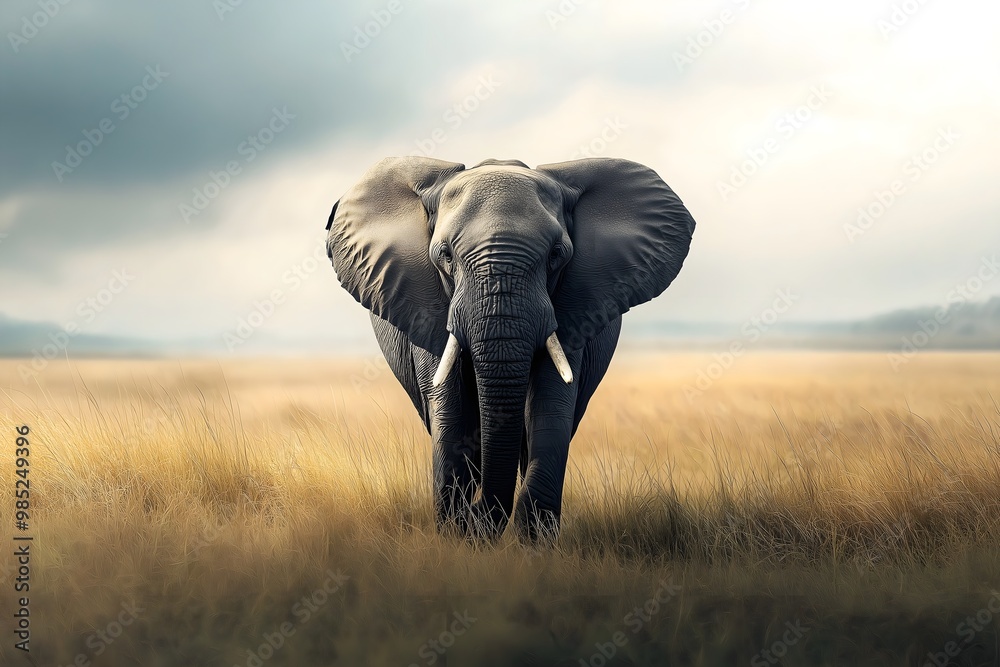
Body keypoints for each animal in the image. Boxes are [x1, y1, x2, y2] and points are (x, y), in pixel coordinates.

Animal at [325, 156, 695, 542]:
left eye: (556, 255)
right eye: (445, 256)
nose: (474, 517)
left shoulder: (574, 306)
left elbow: (550, 408)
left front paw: (533, 542)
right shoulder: (424, 304)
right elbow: (451, 412)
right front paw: (459, 535)